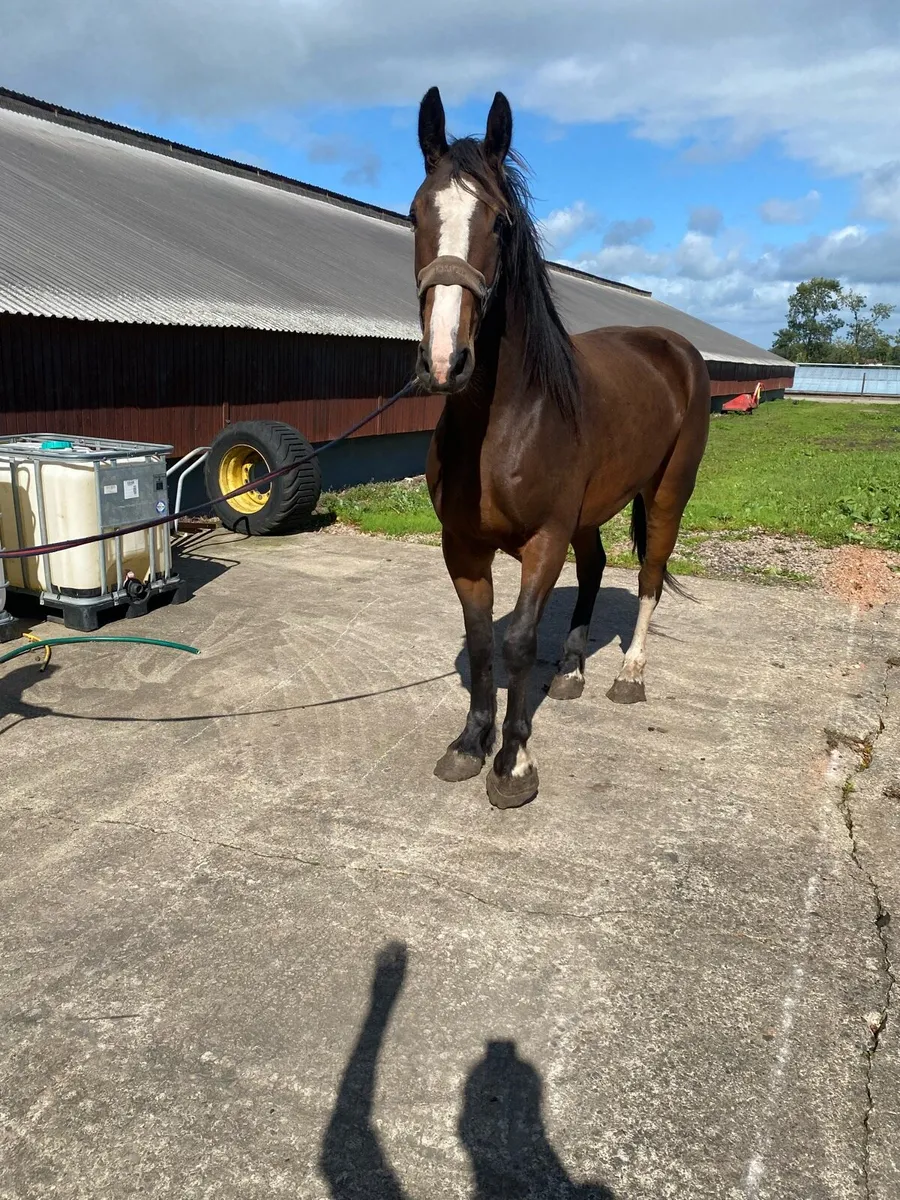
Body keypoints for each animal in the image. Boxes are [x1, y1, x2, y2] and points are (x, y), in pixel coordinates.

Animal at [410, 87, 710, 809]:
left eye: (500, 223)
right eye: (415, 214)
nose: (445, 361)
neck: (503, 422)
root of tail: (674, 347)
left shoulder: (543, 539)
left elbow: (518, 641)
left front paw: (514, 762)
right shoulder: (463, 546)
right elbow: (481, 641)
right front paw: (471, 744)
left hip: (667, 494)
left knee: (650, 574)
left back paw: (628, 675)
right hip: (590, 510)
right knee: (597, 566)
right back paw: (572, 669)